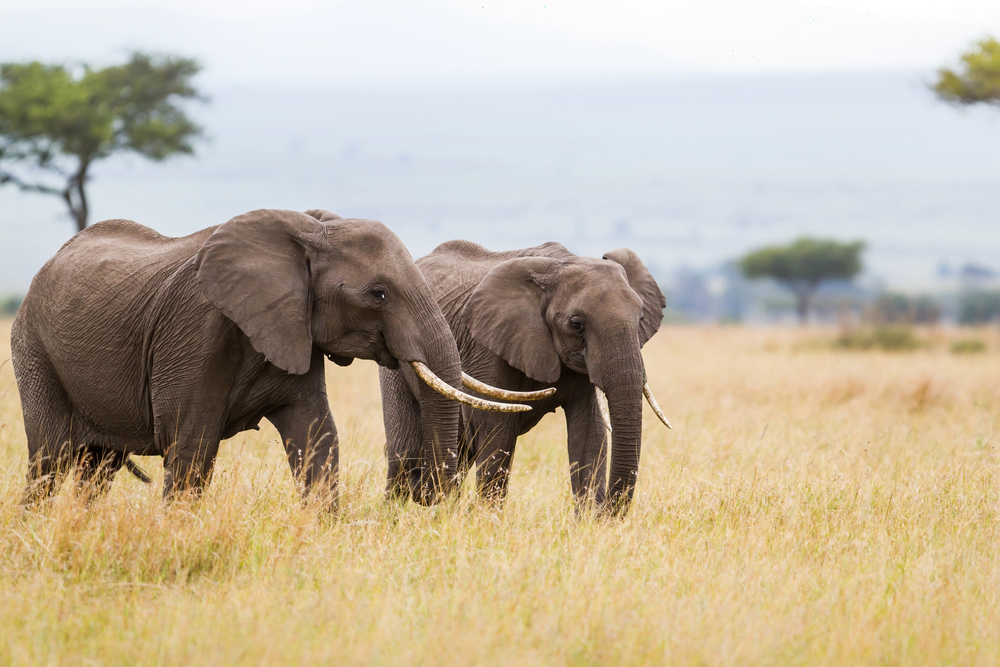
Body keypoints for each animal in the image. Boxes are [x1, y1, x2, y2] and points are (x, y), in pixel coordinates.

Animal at [11, 209, 528, 506]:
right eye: (378, 294)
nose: (436, 502)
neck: (307, 231)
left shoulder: (293, 328)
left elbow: (317, 435)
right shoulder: (196, 328)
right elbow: (191, 441)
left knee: (95, 469)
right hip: (33, 349)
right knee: (50, 457)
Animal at [380, 241, 672, 516]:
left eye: (641, 319)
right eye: (576, 324)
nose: (607, 513)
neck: (562, 264)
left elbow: (590, 433)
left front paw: (589, 524)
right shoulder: (487, 347)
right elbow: (498, 432)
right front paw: (489, 521)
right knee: (404, 455)